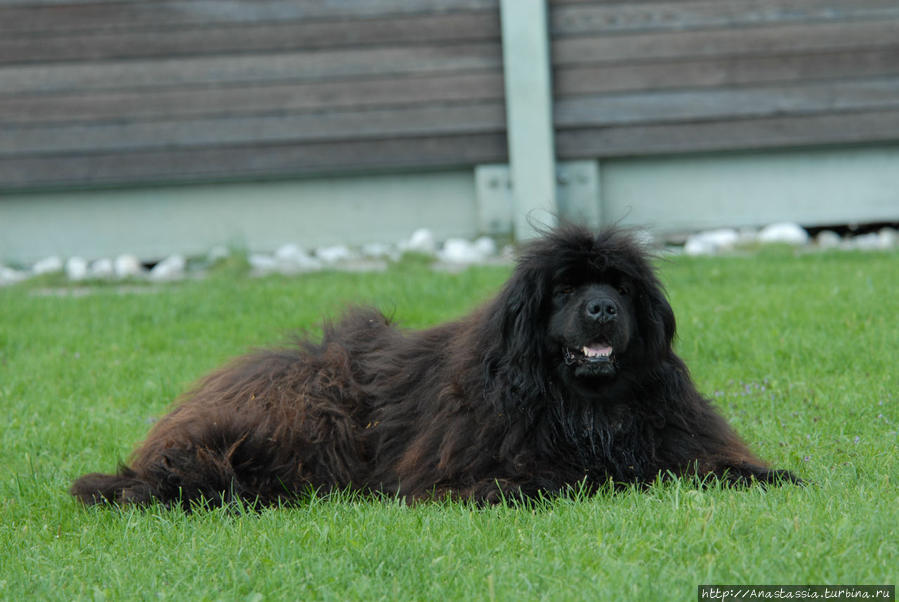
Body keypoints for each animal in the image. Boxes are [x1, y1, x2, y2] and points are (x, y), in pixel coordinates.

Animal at [72, 225, 800, 506]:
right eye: (565, 289)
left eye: (619, 287)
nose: (599, 309)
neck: (585, 404)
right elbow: (551, 479)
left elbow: (714, 464)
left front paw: (771, 476)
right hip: (308, 410)